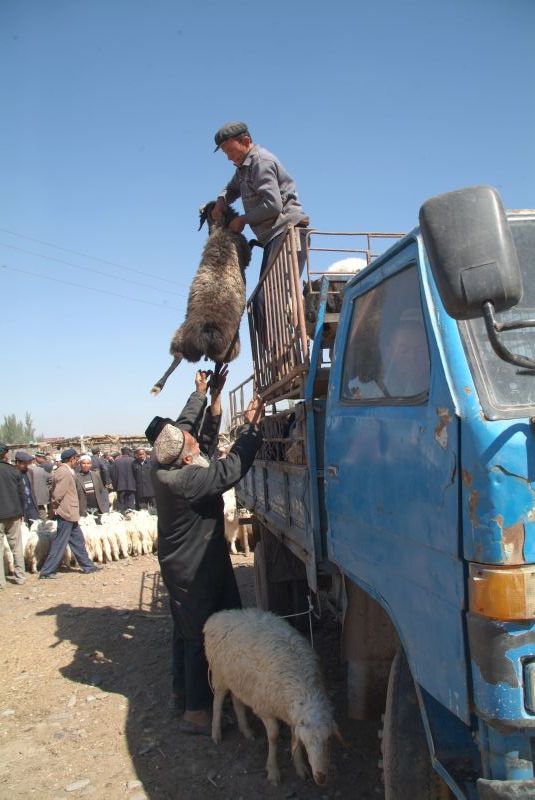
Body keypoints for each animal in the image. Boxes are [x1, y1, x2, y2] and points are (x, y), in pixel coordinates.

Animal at [203, 608, 342, 784]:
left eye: (329, 739)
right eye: (306, 743)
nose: (321, 778)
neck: (303, 689)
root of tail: (218, 616)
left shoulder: (292, 715)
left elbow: (293, 737)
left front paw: (300, 767)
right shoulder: (265, 709)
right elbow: (274, 736)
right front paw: (273, 771)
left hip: (239, 680)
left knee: (237, 701)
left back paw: (246, 730)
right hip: (220, 674)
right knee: (218, 701)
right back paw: (216, 733)